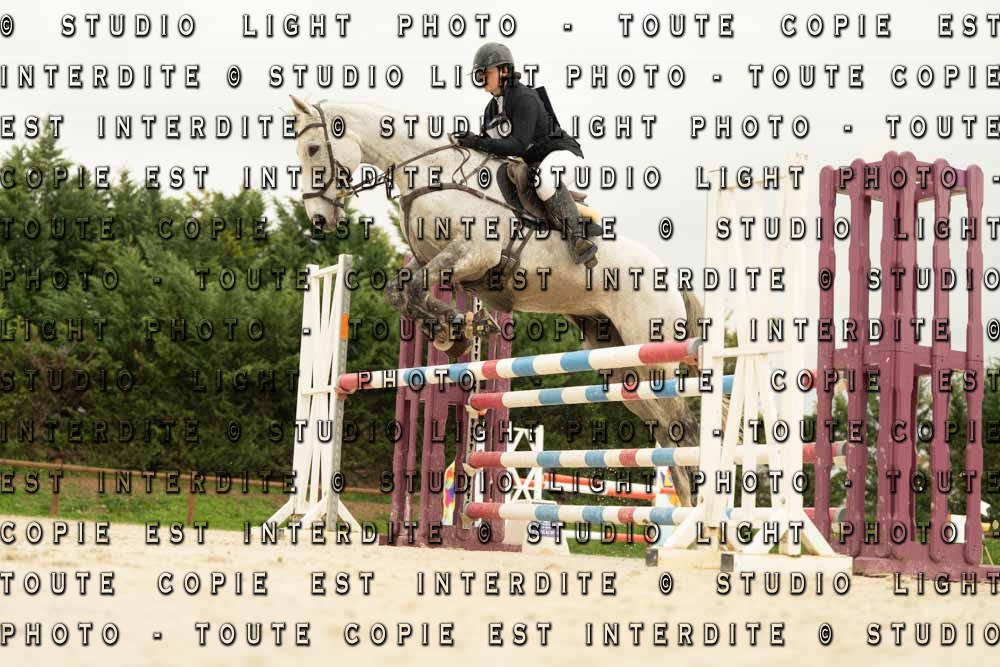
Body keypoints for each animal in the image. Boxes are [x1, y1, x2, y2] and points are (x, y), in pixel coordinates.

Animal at [289, 95, 707, 506]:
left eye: (312, 148)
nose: (320, 220)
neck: (432, 173)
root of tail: (669, 275)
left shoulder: (473, 255)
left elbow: (413, 290)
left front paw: (458, 326)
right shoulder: (435, 262)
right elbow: (400, 292)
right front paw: (453, 330)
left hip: (652, 352)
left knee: (682, 425)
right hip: (620, 360)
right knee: (665, 429)